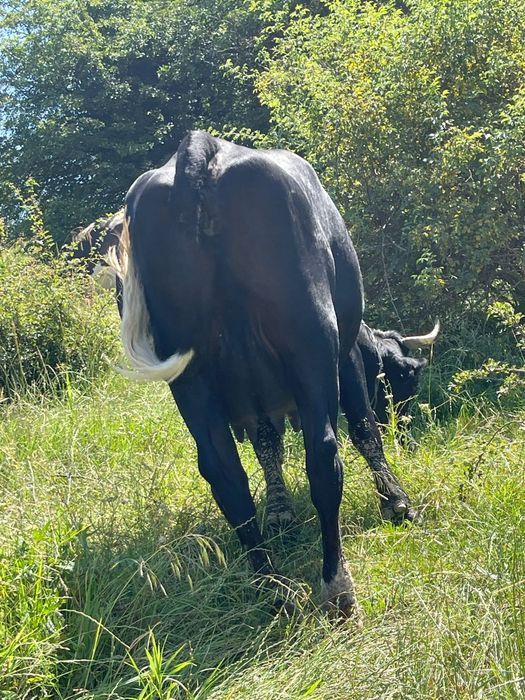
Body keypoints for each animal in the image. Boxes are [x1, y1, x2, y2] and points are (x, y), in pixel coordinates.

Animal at [108, 131, 418, 616]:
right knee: (324, 456)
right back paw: (336, 586)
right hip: (311, 339)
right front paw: (396, 501)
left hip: (190, 377)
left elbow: (267, 447)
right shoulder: (345, 356)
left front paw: (279, 512)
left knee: (225, 475)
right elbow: (364, 428)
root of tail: (205, 150)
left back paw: (271, 585)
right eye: (404, 381)